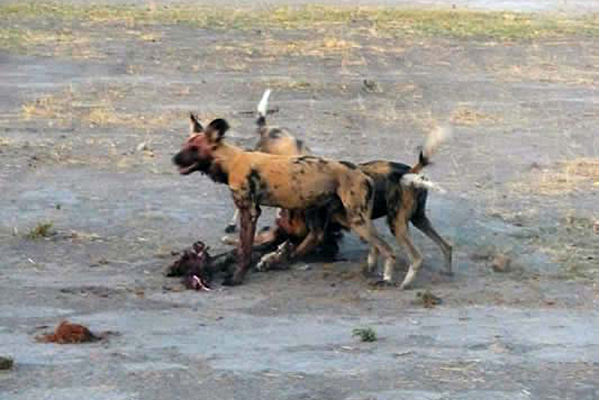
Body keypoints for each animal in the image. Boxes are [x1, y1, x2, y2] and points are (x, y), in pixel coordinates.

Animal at [172, 114, 398, 286]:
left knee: (387, 249)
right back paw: (285, 258)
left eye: (194, 149)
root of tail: (362, 173)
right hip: (323, 212)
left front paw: (237, 278)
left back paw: (388, 279)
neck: (231, 161)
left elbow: (245, 250)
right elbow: (242, 248)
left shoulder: (249, 212)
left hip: (355, 220)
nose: (174, 159)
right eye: (184, 145)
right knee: (317, 238)